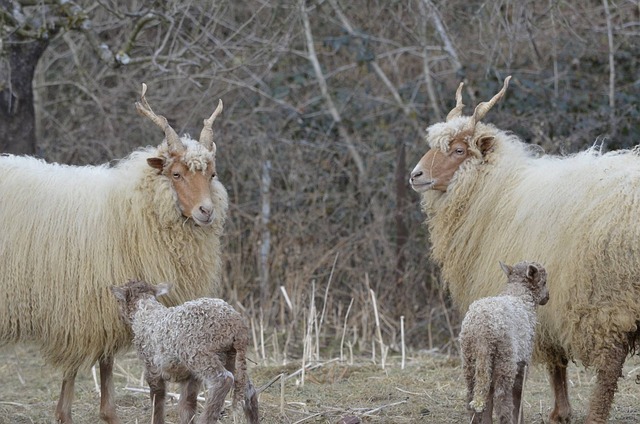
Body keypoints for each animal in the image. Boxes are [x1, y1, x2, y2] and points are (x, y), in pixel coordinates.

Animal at [0, 83, 229, 424]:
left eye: (211, 174)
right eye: (175, 174)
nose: (206, 211)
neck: (128, 208)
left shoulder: (104, 306)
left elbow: (106, 362)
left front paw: (107, 412)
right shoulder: (79, 308)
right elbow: (75, 367)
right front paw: (65, 414)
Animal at [112, 278, 258, 424]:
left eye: (119, 301)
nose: (119, 317)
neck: (145, 312)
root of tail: (237, 324)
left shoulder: (151, 366)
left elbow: (157, 399)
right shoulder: (190, 376)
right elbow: (187, 404)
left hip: (198, 353)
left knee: (224, 379)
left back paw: (205, 419)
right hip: (231, 356)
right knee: (248, 388)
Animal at [460, 260, 552, 422]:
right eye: (544, 281)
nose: (547, 297)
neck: (519, 295)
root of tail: (482, 330)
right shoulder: (523, 359)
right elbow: (518, 393)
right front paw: (520, 419)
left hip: (470, 358)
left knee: (473, 396)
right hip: (505, 357)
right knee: (502, 400)